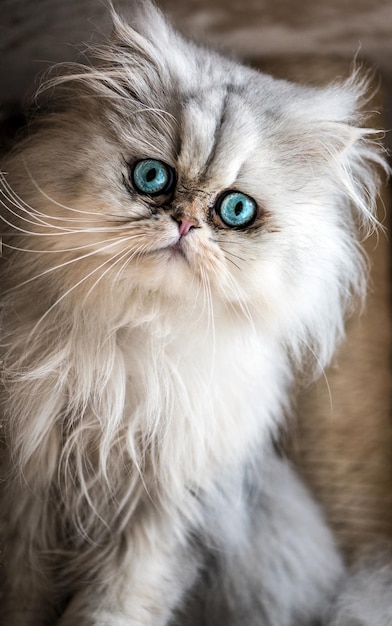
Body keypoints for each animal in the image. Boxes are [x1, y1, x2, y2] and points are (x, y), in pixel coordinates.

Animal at [0, 1, 386, 624]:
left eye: (235, 210)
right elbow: (23, 601)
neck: (129, 360)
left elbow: (113, 608)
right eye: (153, 177)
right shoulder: (27, 497)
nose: (184, 223)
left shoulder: (167, 521)